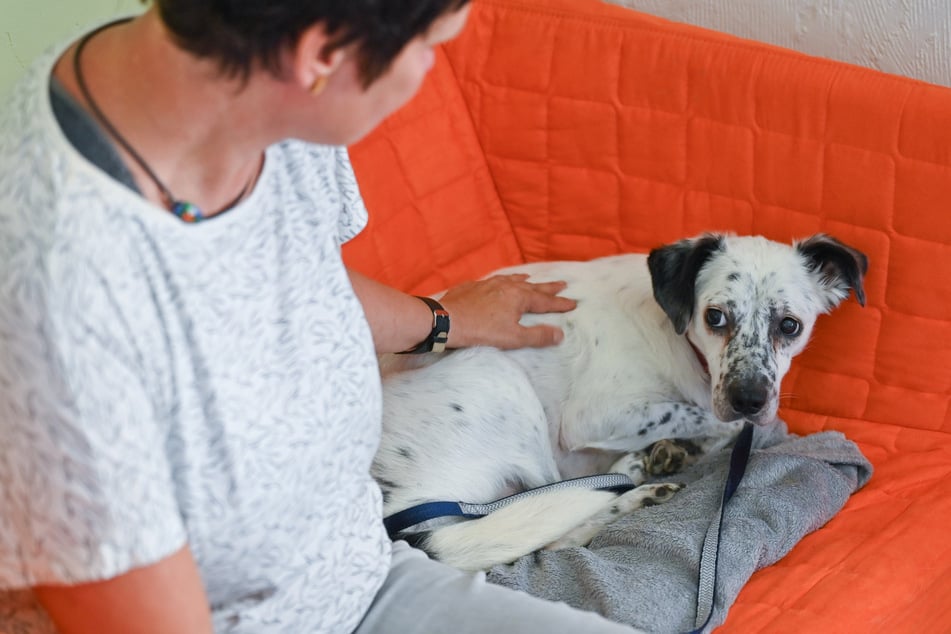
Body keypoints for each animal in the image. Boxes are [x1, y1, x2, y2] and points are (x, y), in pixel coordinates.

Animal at [374, 232, 872, 568]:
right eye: (715, 317)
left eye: (790, 325)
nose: (750, 398)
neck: (676, 330)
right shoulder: (594, 417)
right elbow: (717, 421)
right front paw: (689, 443)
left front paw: (676, 450)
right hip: (497, 375)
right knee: (557, 526)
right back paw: (637, 482)